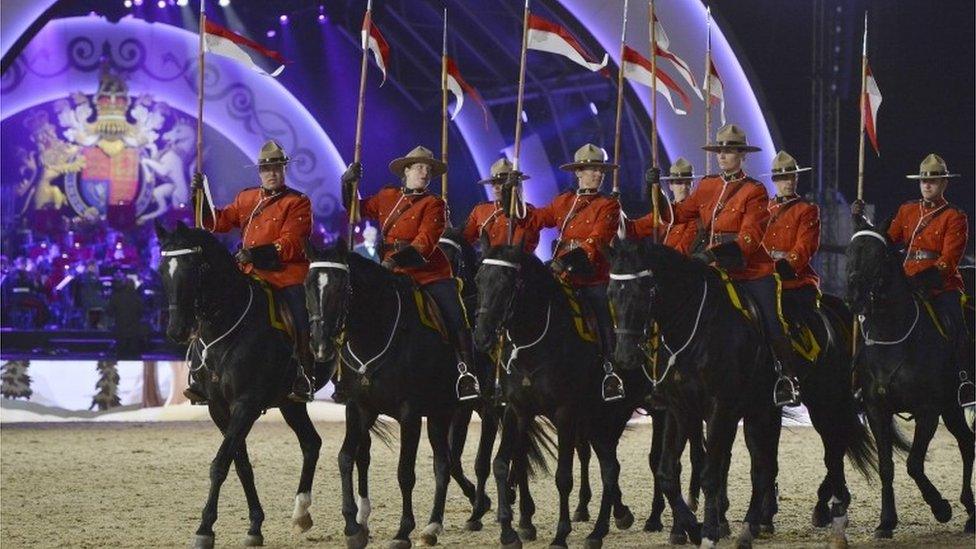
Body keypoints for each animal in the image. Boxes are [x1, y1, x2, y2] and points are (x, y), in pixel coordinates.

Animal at [156, 222, 328, 548]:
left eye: (193, 266)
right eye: (163, 269)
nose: (177, 330)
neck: (227, 324)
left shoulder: (246, 405)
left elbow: (221, 463)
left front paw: (204, 529)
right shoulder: (219, 408)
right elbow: (241, 464)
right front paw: (255, 526)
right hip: (291, 403)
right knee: (311, 443)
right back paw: (301, 515)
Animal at [304, 240, 488, 548]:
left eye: (341, 287)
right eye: (307, 285)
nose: (320, 345)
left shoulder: (409, 413)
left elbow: (405, 472)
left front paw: (403, 531)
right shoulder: (359, 407)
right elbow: (346, 457)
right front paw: (353, 526)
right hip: (440, 413)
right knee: (443, 464)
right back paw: (435, 525)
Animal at [608, 240, 872, 548]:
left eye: (644, 289)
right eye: (611, 293)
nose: (625, 356)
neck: (694, 327)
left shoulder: (719, 408)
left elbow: (711, 473)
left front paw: (708, 532)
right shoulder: (679, 409)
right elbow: (667, 473)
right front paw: (693, 528)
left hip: (824, 402)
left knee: (833, 452)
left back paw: (836, 519)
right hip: (763, 409)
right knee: (763, 466)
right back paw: (751, 527)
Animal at [844, 219, 972, 536]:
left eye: (879, 256)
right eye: (850, 250)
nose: (854, 298)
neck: (894, 336)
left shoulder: (928, 410)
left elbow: (914, 463)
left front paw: (941, 508)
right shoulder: (877, 410)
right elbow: (886, 466)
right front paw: (886, 522)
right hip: (952, 407)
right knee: (967, 441)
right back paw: (972, 512)